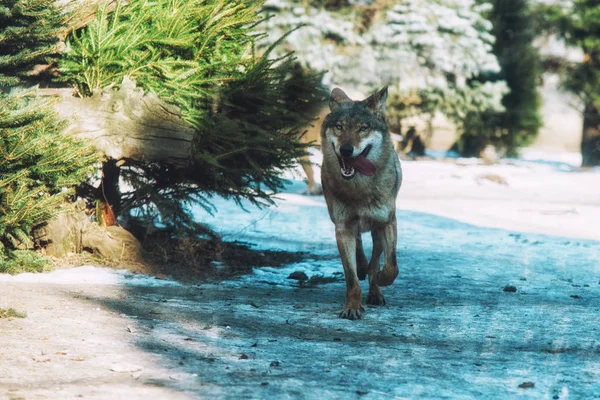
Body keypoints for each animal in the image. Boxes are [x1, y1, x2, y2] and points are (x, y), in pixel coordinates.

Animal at [322, 86, 400, 320]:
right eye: (339, 127)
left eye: (363, 128)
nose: (346, 150)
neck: (359, 188)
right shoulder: (342, 227)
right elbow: (350, 276)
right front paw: (352, 307)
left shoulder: (387, 223)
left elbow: (391, 266)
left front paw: (381, 280)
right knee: (359, 249)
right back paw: (362, 266)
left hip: (377, 231)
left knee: (376, 258)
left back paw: (375, 289)